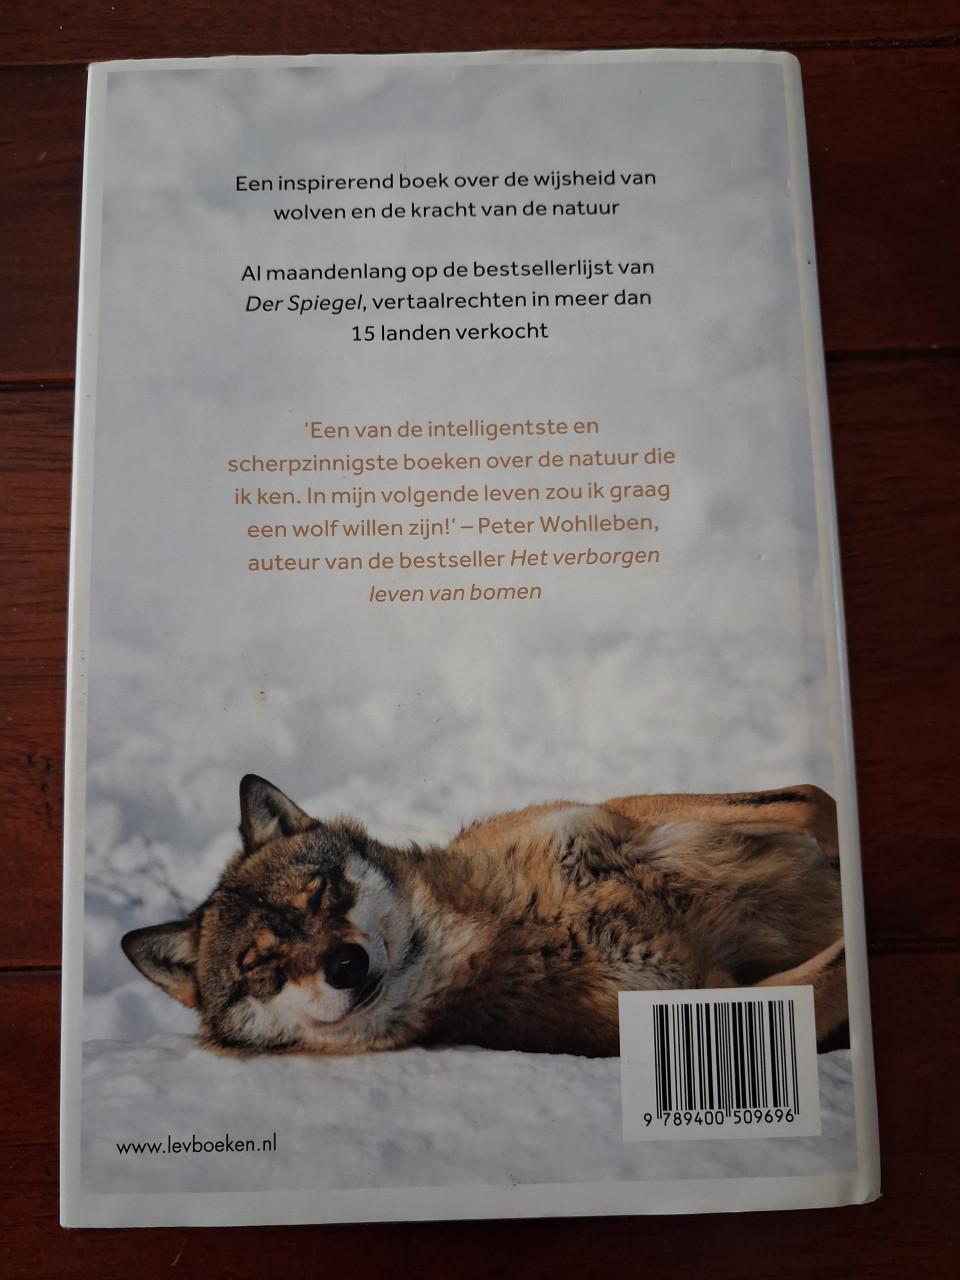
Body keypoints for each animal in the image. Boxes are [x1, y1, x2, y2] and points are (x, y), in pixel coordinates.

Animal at [122, 776, 847, 1058]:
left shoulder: (633, 821)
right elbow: (842, 968)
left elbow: (811, 800)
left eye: (321, 896)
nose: (345, 963)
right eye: (263, 967)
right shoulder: (711, 1002)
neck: (521, 919)